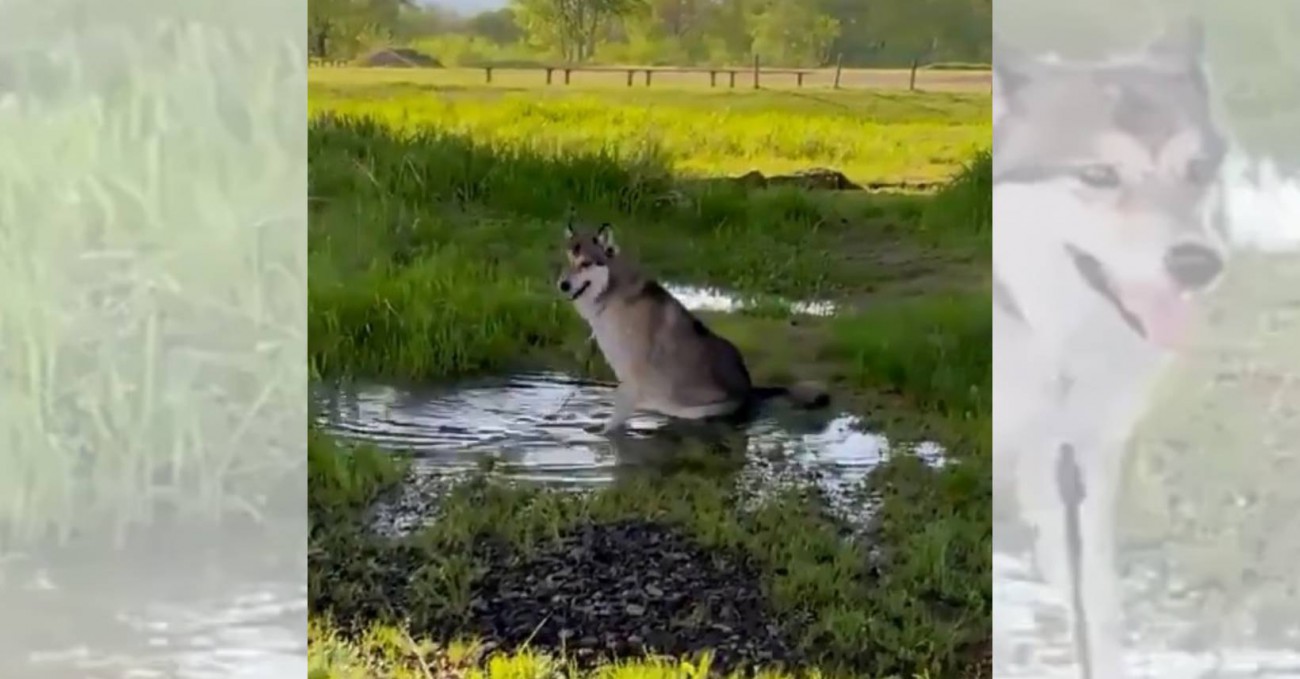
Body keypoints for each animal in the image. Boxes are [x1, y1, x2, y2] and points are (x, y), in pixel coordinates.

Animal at [553, 219, 826, 431]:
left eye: (586, 263)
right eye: (566, 262)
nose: (563, 285)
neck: (613, 297)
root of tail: (749, 388)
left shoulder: (632, 378)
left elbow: (612, 425)